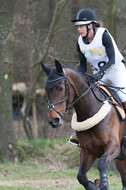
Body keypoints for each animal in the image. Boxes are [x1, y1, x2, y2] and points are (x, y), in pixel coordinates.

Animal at [40, 59, 126, 190]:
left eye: (60, 88)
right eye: (46, 89)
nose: (53, 120)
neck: (91, 111)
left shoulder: (114, 147)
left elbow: (101, 164)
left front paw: (103, 184)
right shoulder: (88, 151)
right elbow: (81, 176)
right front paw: (96, 185)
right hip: (121, 159)